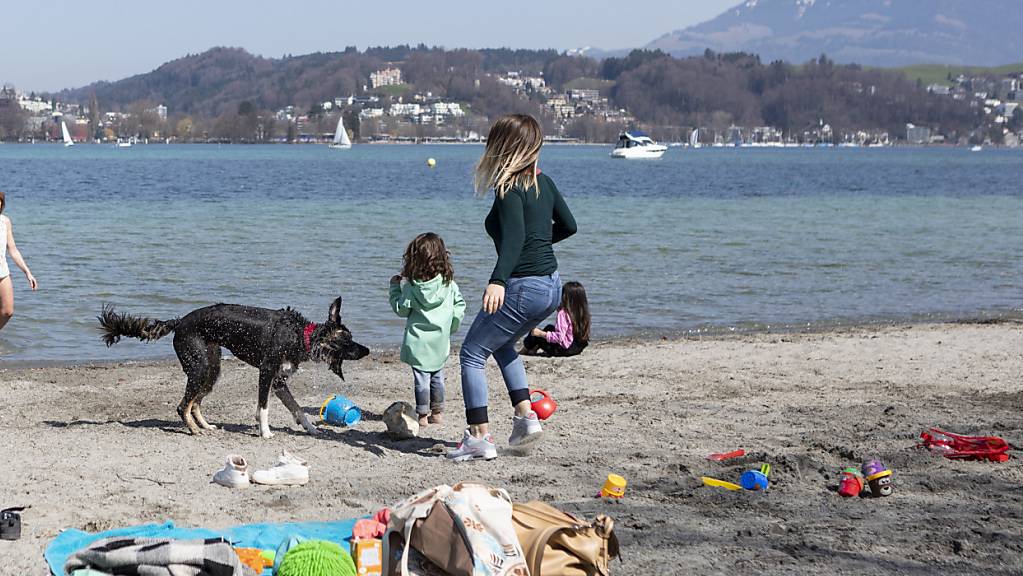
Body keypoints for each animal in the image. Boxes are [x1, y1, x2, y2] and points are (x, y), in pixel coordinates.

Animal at [97, 300, 370, 439]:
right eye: (349, 342)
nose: (367, 350)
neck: (298, 335)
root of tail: (180, 322)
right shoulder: (266, 374)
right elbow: (264, 409)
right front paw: (265, 432)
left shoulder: (279, 382)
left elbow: (298, 409)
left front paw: (311, 428)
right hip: (199, 368)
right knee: (182, 405)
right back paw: (194, 430)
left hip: (211, 369)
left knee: (194, 403)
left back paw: (205, 426)